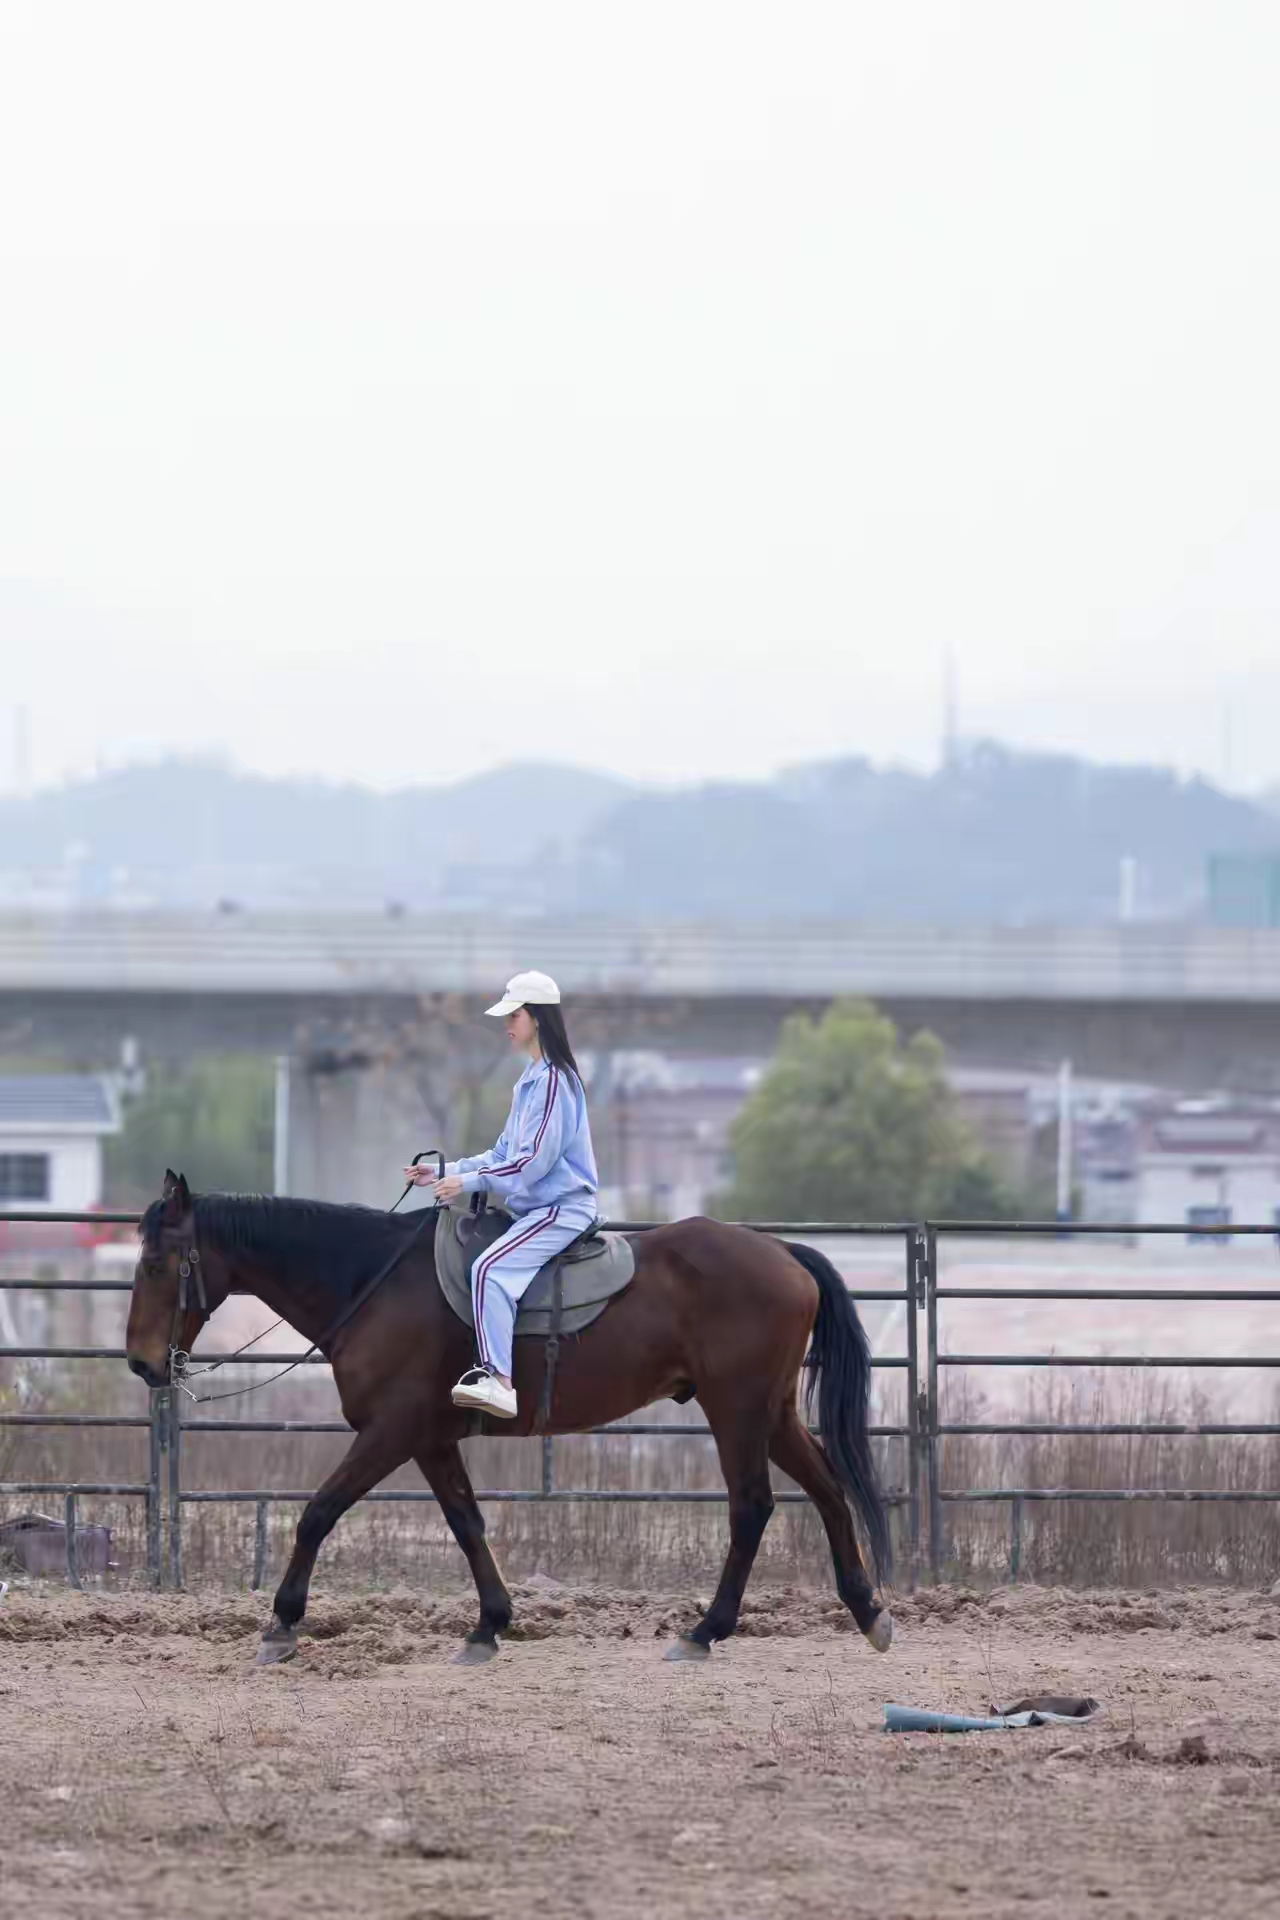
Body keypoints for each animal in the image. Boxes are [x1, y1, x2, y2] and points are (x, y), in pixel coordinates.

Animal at [125, 1170, 895, 1666]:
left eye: (159, 1264)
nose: (141, 1363)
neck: (372, 1281)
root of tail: (781, 1251)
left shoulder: (389, 1432)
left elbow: (318, 1512)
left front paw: (283, 1623)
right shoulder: (431, 1440)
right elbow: (467, 1524)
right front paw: (489, 1625)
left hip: (736, 1410)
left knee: (752, 1507)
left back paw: (705, 1630)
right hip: (771, 1413)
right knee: (829, 1491)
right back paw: (866, 1611)